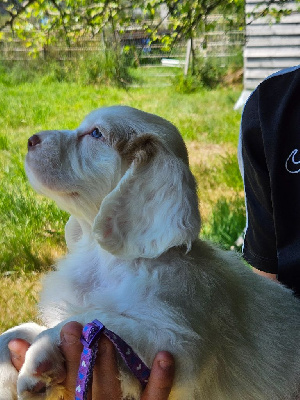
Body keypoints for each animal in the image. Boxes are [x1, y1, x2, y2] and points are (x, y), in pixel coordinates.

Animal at [0, 106, 300, 400]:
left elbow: (90, 318)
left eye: (96, 134)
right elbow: (21, 329)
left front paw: (40, 357)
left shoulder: (175, 343)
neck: (106, 261)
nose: (31, 140)